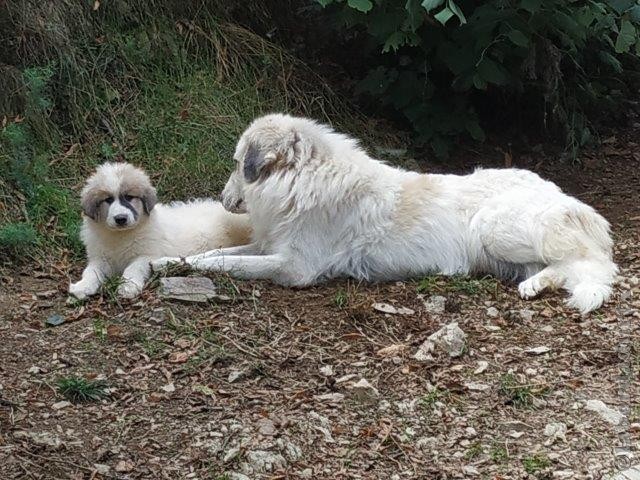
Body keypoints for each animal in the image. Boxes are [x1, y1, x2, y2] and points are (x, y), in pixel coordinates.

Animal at [69, 165, 251, 300]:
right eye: (108, 200)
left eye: (129, 197)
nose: (121, 218)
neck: (121, 235)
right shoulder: (100, 258)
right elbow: (91, 272)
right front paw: (82, 286)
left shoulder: (148, 255)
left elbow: (133, 268)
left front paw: (128, 286)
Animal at [152, 114, 616, 314]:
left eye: (237, 165)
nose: (223, 198)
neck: (304, 180)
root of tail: (567, 197)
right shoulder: (270, 244)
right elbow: (212, 255)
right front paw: (164, 262)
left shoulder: (293, 267)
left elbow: (228, 264)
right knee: (559, 268)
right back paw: (535, 285)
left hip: (493, 228)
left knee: (587, 265)